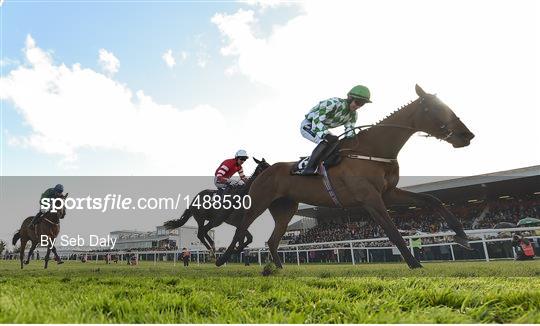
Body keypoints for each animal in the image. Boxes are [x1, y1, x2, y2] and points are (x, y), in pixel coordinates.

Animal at [217, 85, 474, 268]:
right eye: (435, 109)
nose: (467, 135)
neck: (374, 150)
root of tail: (265, 170)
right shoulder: (370, 198)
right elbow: (392, 230)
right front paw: (414, 263)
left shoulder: (388, 193)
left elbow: (433, 200)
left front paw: (461, 235)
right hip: (258, 202)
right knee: (241, 229)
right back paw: (222, 259)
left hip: (285, 208)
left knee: (273, 239)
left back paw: (277, 269)